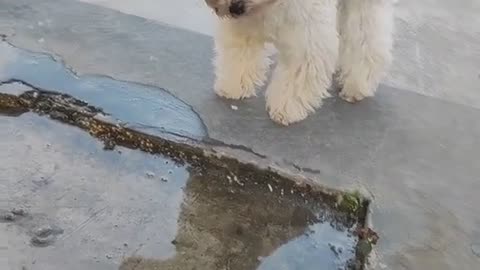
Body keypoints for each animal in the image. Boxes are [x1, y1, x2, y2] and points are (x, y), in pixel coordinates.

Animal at [204, 0, 392, 125]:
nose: (235, 7)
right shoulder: (244, 25)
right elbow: (239, 55)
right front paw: (234, 86)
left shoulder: (308, 34)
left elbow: (297, 77)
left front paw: (287, 109)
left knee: (367, 39)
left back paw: (357, 85)